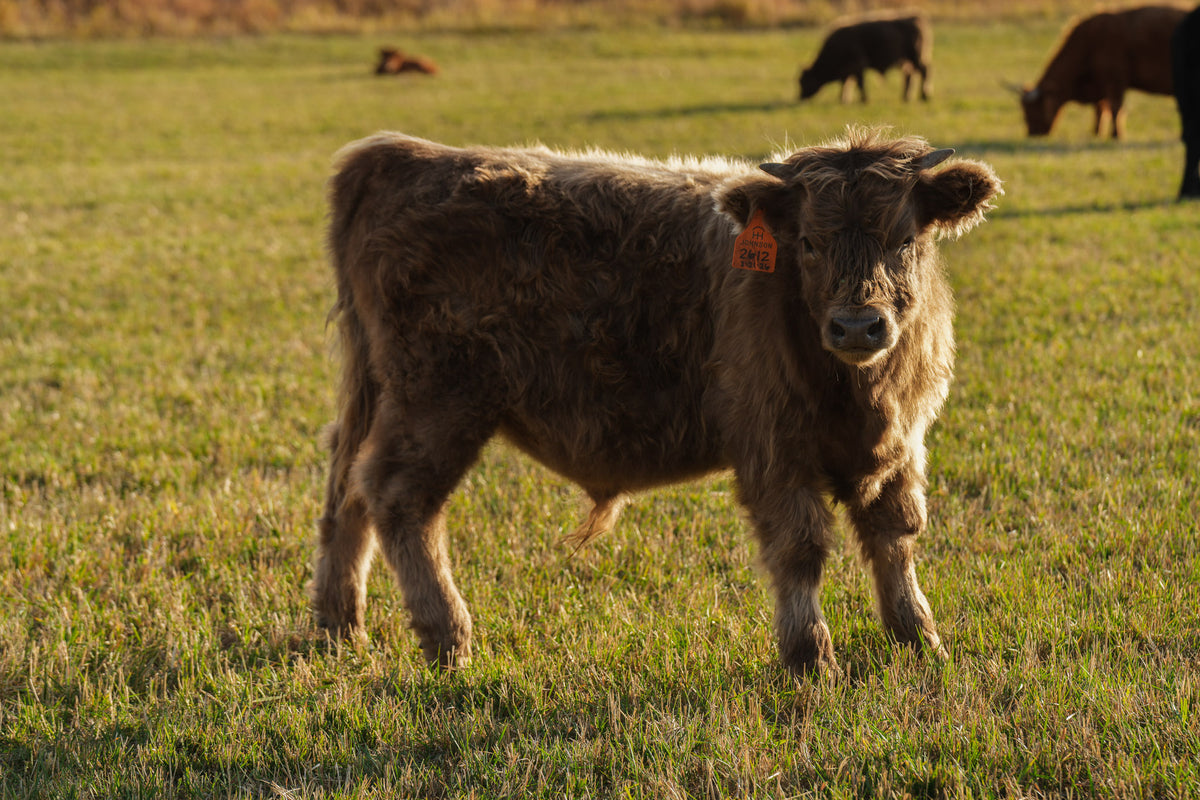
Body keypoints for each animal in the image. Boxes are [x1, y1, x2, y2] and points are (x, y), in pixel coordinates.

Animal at [310, 128, 1001, 677]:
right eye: (808, 242)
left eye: (904, 239)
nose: (858, 326)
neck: (859, 395)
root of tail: (403, 154)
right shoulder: (772, 448)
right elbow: (800, 546)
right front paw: (811, 658)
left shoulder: (901, 445)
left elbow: (895, 537)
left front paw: (920, 641)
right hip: (438, 400)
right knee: (396, 496)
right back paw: (447, 638)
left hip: (383, 396)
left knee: (346, 492)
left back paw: (337, 628)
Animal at [798, 14, 931, 103]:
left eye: (804, 81)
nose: (800, 98)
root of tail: (915, 17)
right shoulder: (848, 71)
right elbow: (846, 84)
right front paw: (843, 99)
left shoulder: (858, 66)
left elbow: (859, 83)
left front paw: (863, 100)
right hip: (906, 61)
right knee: (909, 75)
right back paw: (906, 97)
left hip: (916, 58)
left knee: (925, 71)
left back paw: (925, 96)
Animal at [1016, 5, 1187, 139]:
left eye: (1032, 110)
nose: (1032, 134)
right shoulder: (1102, 84)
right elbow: (1100, 109)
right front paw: (1097, 132)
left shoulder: (1115, 80)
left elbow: (1115, 108)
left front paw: (1116, 135)